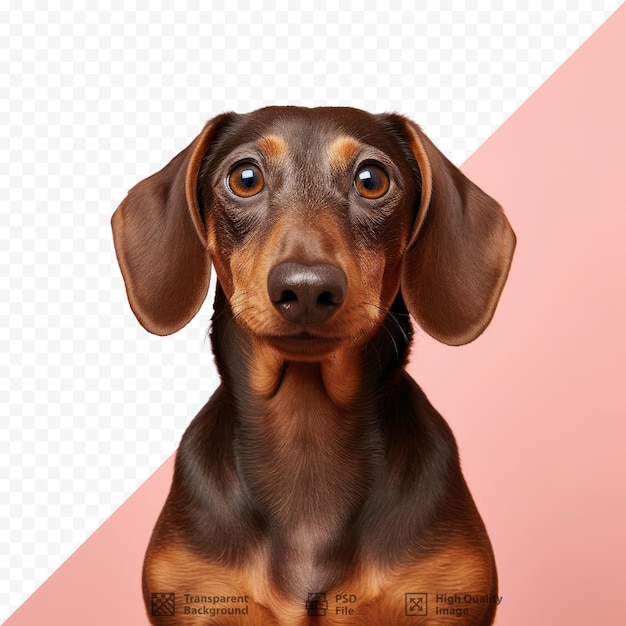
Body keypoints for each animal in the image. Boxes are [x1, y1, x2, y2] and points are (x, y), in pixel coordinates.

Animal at [111, 105, 512, 620]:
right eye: (244, 178)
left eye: (371, 179)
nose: (305, 289)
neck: (307, 428)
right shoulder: (197, 597)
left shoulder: (445, 597)